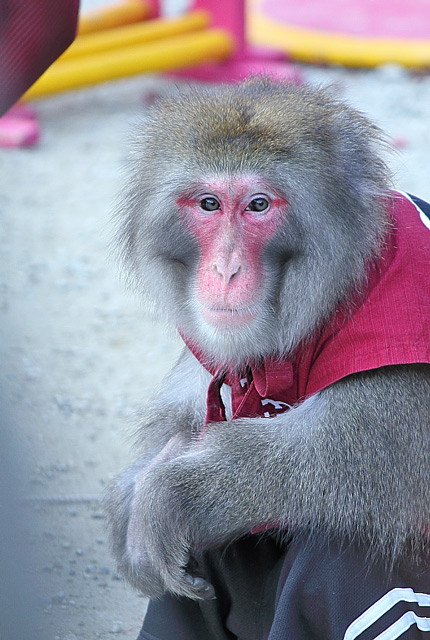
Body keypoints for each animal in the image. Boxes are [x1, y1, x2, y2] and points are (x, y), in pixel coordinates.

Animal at [106, 76, 430, 640]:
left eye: (258, 205)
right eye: (209, 204)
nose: (226, 269)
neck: (340, 289)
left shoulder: (402, 307)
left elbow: (376, 456)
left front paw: (176, 492)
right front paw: (135, 500)